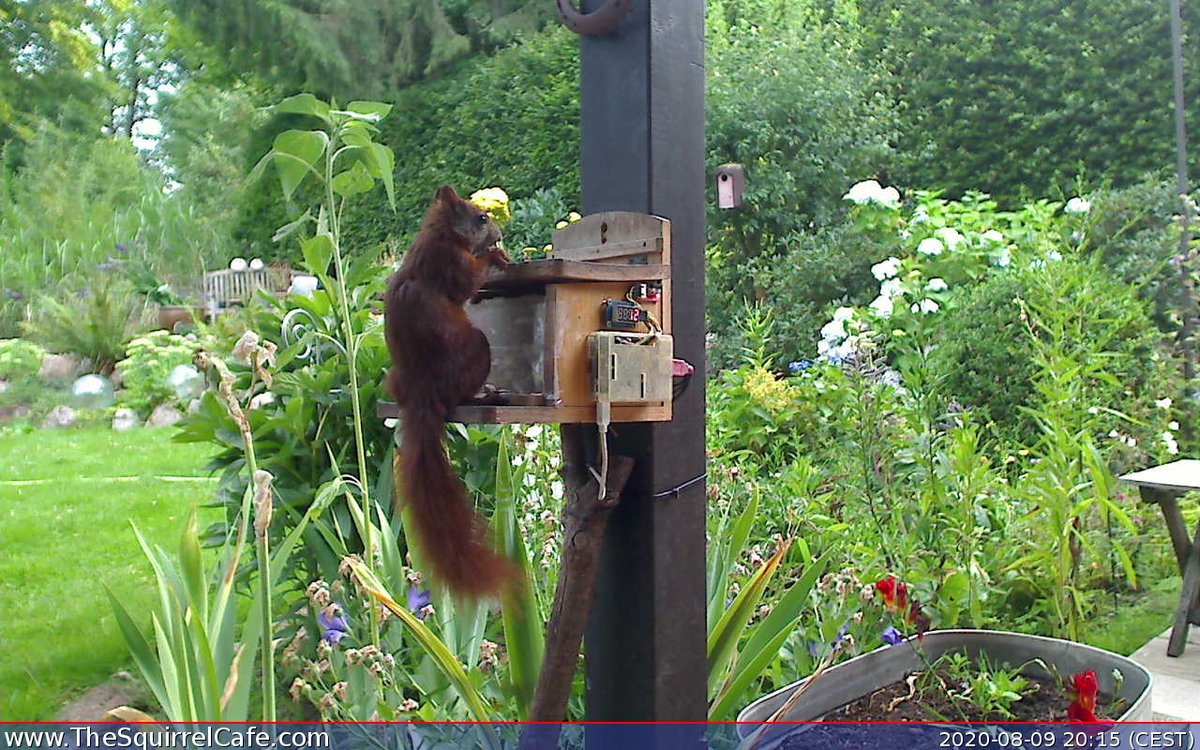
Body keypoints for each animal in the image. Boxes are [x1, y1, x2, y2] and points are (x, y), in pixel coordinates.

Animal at [384, 185, 516, 599]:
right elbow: (469, 283)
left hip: (396, 379)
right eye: (482, 218)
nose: (500, 235)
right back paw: (485, 393)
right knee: (462, 395)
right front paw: (497, 257)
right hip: (477, 350)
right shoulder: (449, 263)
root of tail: (423, 394)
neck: (441, 235)